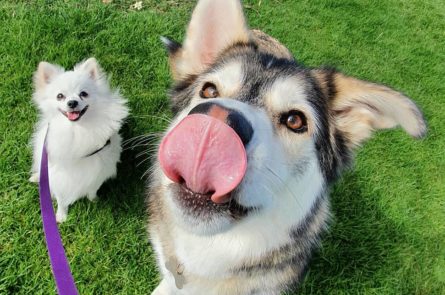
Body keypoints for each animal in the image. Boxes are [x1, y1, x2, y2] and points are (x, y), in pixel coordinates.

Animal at [29, 59, 128, 223]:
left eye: (83, 94)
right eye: (60, 96)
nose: (72, 103)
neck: (77, 129)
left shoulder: (98, 171)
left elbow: (93, 188)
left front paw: (93, 200)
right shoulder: (59, 176)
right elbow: (61, 199)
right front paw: (61, 216)